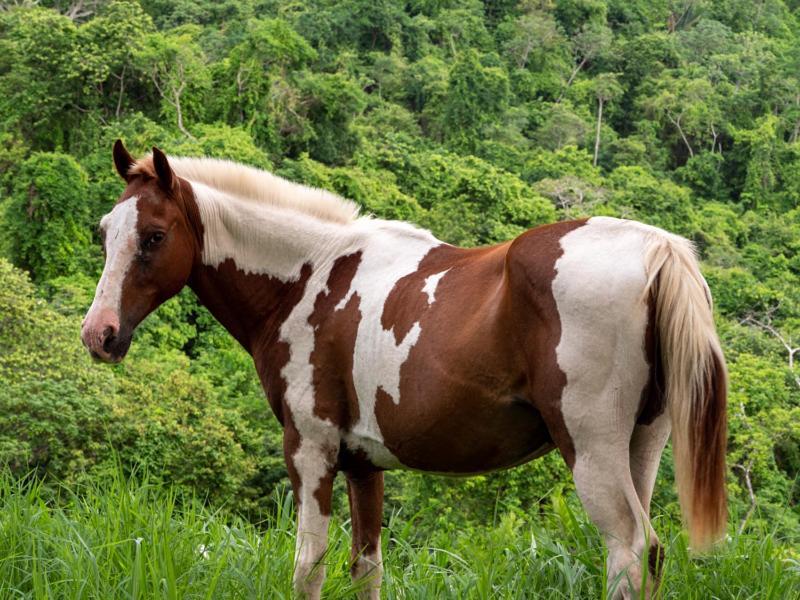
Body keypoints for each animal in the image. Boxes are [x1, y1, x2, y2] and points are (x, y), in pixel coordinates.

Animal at [83, 142, 732, 600]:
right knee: (649, 555)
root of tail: (655, 250)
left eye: (154, 236)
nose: (99, 333)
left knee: (628, 549)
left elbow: (308, 567)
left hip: (593, 453)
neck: (308, 277)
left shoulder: (311, 450)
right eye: (104, 232)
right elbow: (365, 566)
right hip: (641, 446)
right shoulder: (363, 462)